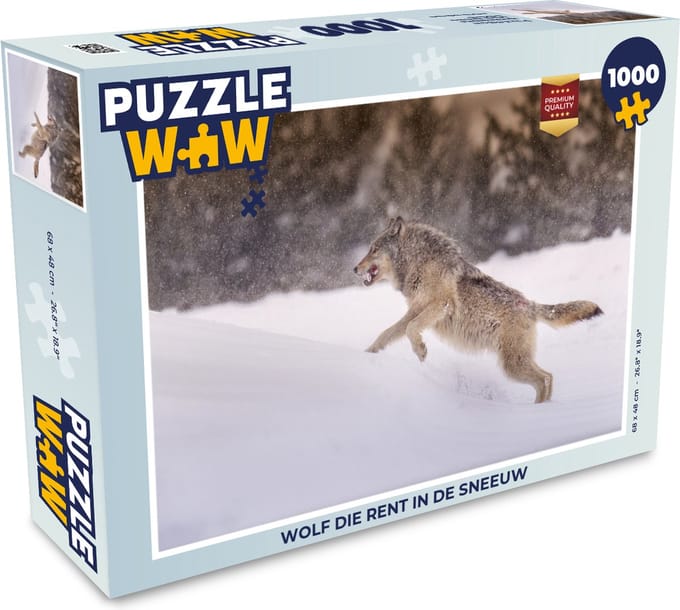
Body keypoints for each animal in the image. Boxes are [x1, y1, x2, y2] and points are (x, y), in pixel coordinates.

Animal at [353, 217, 602, 403]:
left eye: (373, 249)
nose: (355, 268)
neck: (417, 263)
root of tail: (530, 305)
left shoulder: (441, 305)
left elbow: (411, 330)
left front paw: (421, 351)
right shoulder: (415, 310)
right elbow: (388, 333)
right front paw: (367, 354)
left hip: (511, 366)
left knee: (545, 378)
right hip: (515, 363)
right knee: (548, 378)